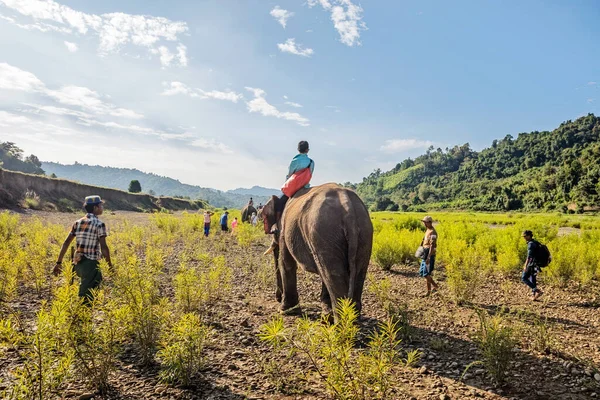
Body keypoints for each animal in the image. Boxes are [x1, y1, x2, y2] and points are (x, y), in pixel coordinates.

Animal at [262, 183, 372, 318]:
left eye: (274, 232)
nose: (278, 297)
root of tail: (348, 209)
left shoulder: (285, 230)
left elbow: (286, 262)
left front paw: (286, 311)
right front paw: (325, 309)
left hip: (325, 233)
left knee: (331, 272)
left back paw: (338, 321)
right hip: (364, 234)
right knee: (356, 271)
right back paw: (347, 318)